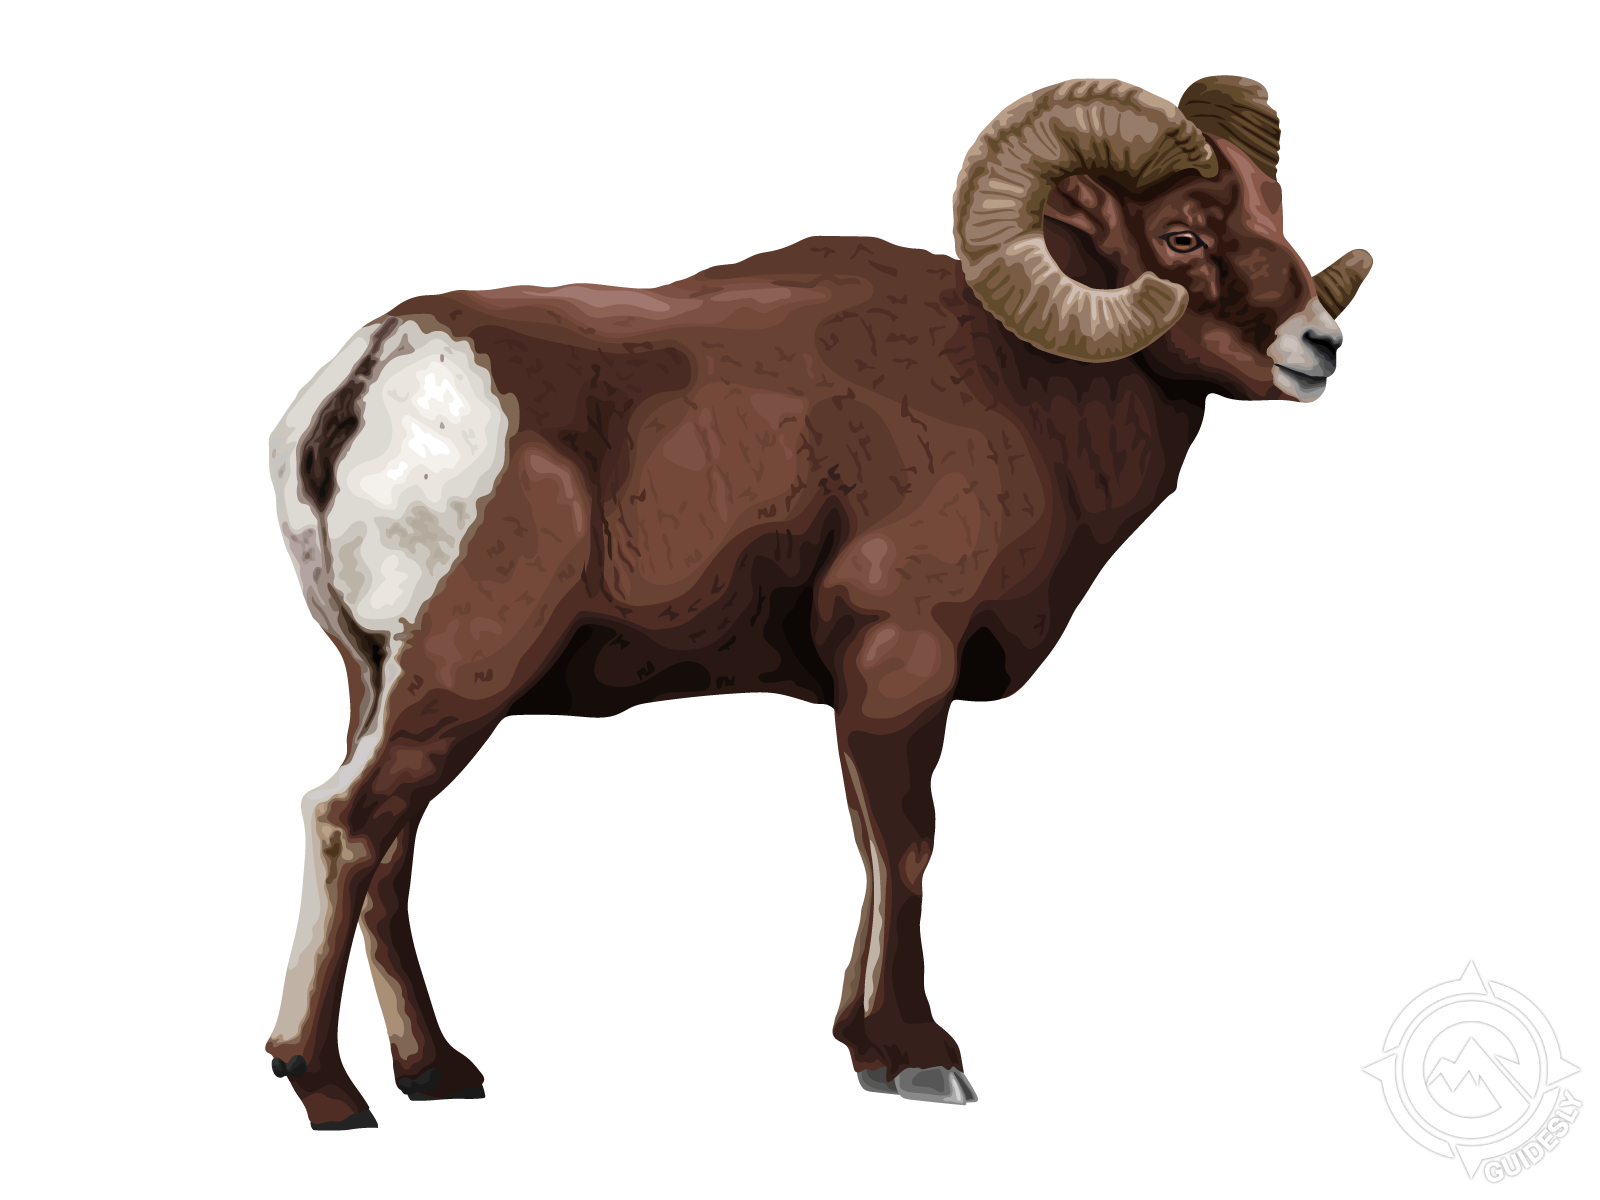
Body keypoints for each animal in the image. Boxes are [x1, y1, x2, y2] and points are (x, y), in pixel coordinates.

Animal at [264, 75, 1372, 1126]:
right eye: (1183, 234)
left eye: (1274, 211)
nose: (1319, 347)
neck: (1023, 386)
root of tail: (383, 367)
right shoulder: (900, 654)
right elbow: (904, 845)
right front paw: (919, 1059)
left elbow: (870, 848)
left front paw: (866, 1050)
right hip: (460, 675)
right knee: (346, 823)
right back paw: (326, 1092)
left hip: (380, 683)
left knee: (392, 850)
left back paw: (437, 1075)